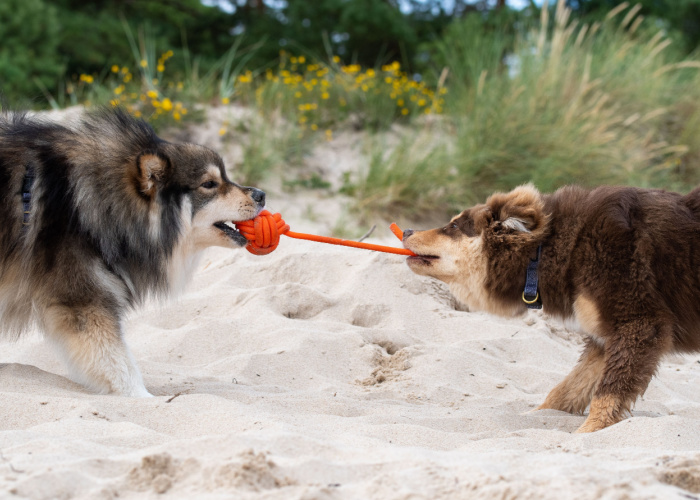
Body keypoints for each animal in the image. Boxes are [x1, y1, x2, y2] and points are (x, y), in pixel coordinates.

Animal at [402, 186, 700, 432]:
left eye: (454, 226)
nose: (406, 231)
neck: (554, 249)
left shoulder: (638, 324)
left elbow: (608, 392)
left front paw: (587, 433)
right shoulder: (605, 337)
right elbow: (568, 389)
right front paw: (537, 416)